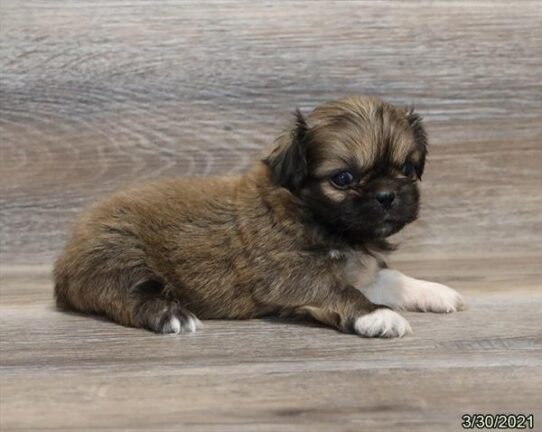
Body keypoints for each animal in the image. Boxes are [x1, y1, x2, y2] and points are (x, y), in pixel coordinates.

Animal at [53, 97, 466, 338]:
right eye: (343, 179)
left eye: (407, 170)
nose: (387, 196)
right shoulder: (292, 276)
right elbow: (340, 292)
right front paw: (377, 315)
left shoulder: (357, 269)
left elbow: (390, 278)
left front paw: (433, 291)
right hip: (119, 255)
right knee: (127, 296)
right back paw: (171, 314)